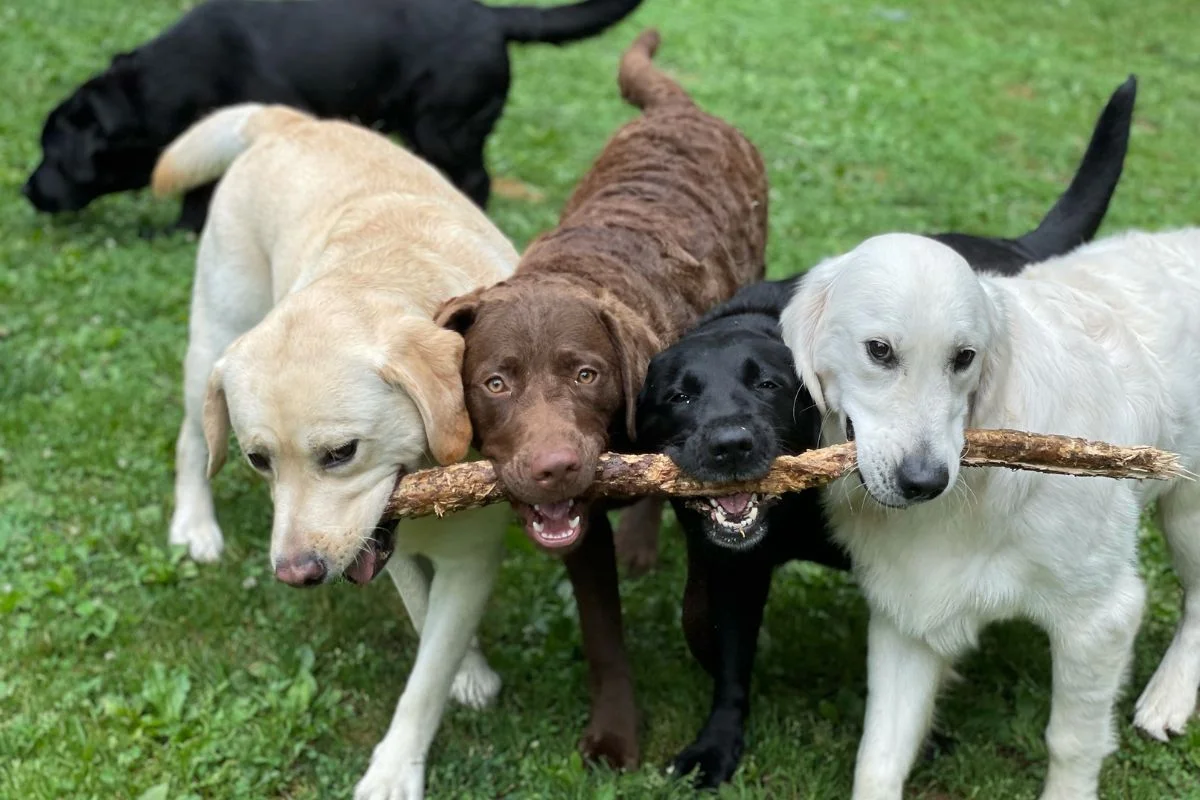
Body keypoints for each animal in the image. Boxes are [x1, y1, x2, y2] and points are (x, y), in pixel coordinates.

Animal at [154, 103, 519, 799]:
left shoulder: (465, 554)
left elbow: (427, 670)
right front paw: (465, 674)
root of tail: (288, 121)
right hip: (212, 339)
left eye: (341, 452)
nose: (296, 573)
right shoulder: (382, 546)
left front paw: (397, 766)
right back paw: (194, 522)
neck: (379, 277)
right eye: (259, 460)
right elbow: (423, 618)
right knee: (192, 440)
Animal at [435, 29, 768, 768]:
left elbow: (702, 593)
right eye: (495, 383)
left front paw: (707, 642)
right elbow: (603, 636)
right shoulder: (579, 532)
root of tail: (678, 109)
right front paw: (616, 735)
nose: (553, 466)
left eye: (586, 375)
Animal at [632, 76, 1136, 789]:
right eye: (679, 396)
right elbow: (730, 664)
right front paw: (717, 743)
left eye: (770, 386)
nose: (731, 444)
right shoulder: (734, 564)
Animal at [780, 225, 1200, 800]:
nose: (924, 482)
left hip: (1187, 517)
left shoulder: (1101, 616)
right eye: (879, 351)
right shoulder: (905, 611)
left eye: (964, 357)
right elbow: (879, 756)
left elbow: (1071, 741)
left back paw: (1168, 698)